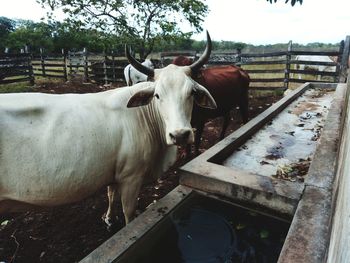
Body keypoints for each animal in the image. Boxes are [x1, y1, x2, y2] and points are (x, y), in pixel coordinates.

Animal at [0, 31, 216, 227]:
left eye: (192, 92)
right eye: (157, 95)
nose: (180, 135)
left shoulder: (114, 172)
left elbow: (111, 193)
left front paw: (109, 218)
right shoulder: (131, 177)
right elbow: (129, 211)